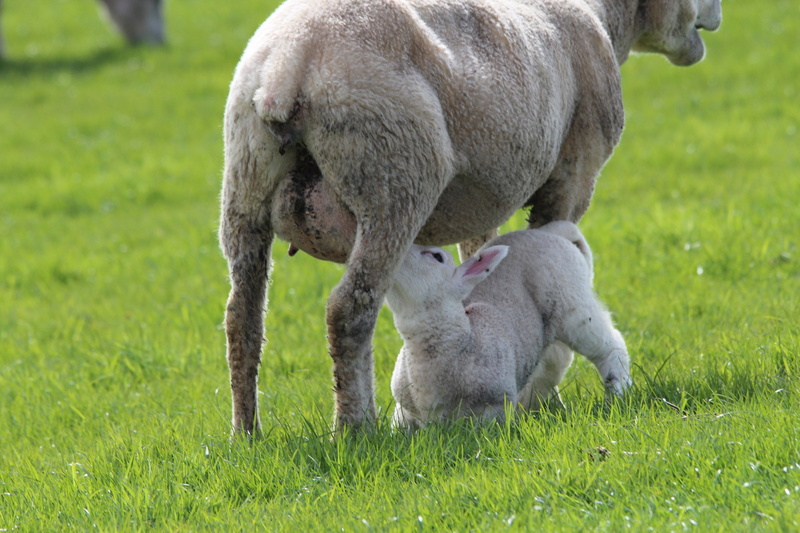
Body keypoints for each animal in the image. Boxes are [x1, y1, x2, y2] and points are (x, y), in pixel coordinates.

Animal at [384, 222, 630, 428]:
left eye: (436, 256)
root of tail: (552, 231)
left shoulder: (495, 405)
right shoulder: (404, 411)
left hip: (572, 298)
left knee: (609, 345)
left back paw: (618, 392)